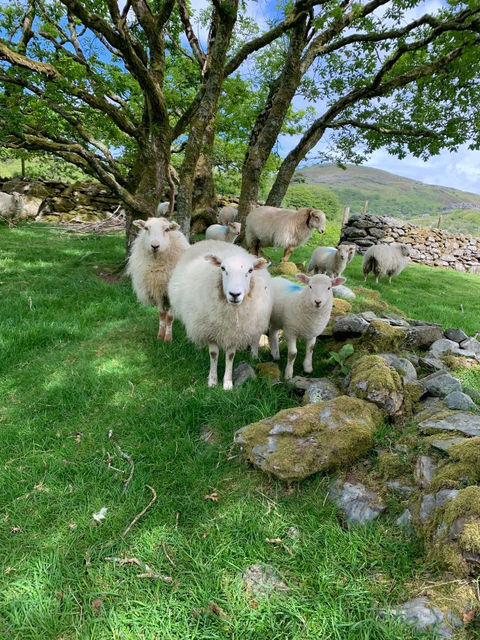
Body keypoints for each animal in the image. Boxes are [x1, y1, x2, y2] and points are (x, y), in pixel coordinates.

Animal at [168, 240, 272, 390]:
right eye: (223, 268)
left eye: (250, 270)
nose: (234, 294)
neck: (231, 312)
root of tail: (210, 240)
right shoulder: (210, 331)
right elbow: (213, 354)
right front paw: (212, 381)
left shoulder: (235, 333)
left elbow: (230, 356)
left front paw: (227, 383)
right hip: (196, 319)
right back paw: (198, 348)